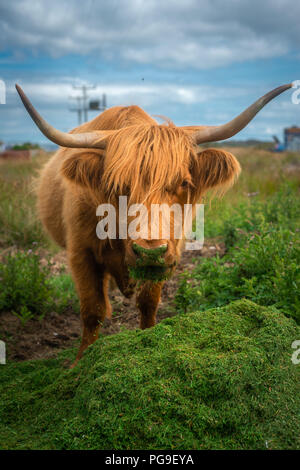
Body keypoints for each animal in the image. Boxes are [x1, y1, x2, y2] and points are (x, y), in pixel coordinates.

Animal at [15, 82, 290, 366]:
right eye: (117, 186)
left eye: (183, 182)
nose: (148, 251)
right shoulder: (80, 252)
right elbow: (92, 309)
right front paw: (80, 362)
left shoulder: (168, 251)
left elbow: (148, 302)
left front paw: (148, 344)